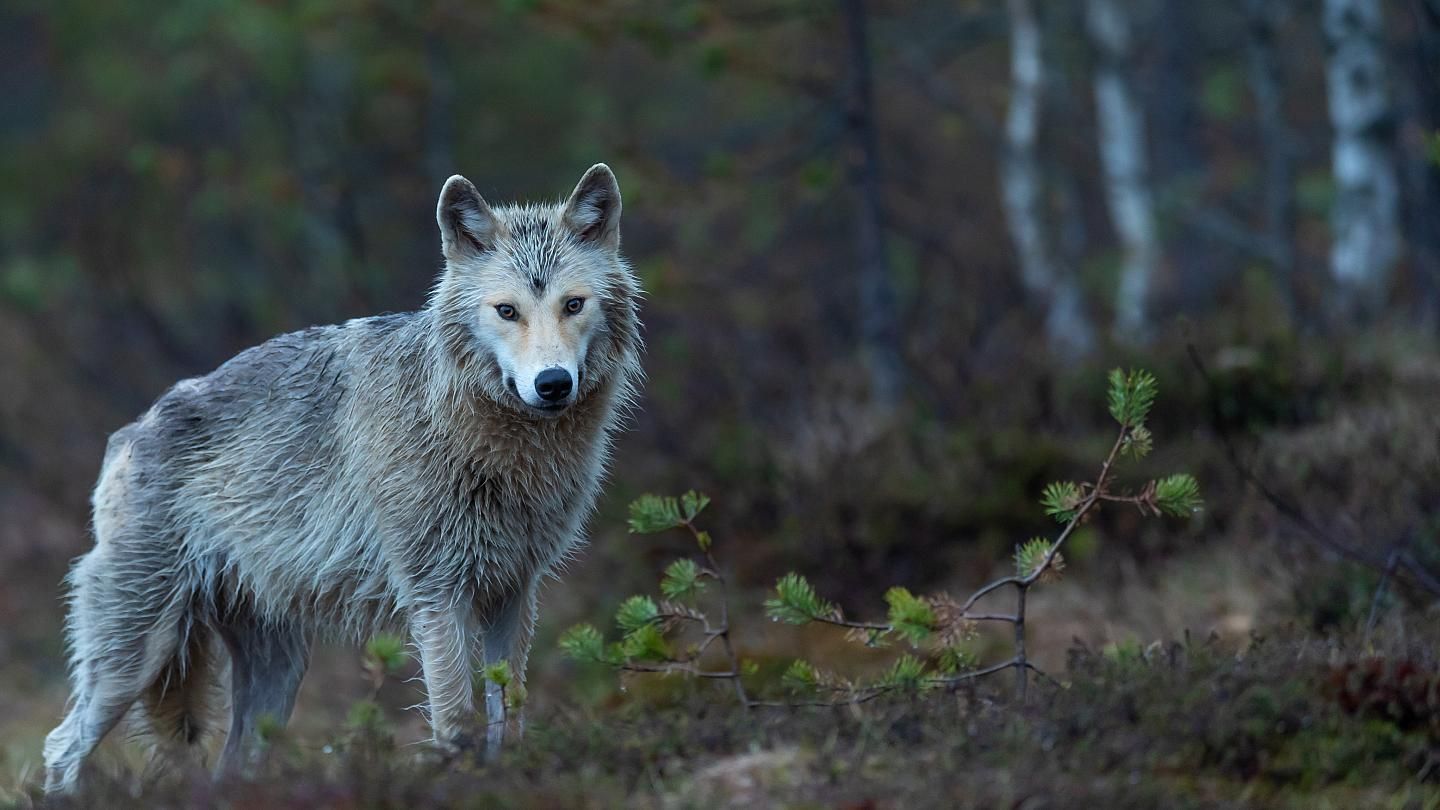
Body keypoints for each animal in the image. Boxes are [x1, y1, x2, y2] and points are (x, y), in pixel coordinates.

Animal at [42, 162, 645, 789]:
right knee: (61, 746)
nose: (553, 383)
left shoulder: (515, 591)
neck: (490, 443)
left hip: (277, 673)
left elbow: (512, 712)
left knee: (230, 763)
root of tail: (128, 432)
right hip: (137, 655)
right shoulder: (437, 595)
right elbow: (456, 719)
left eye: (573, 304)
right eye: (508, 311)